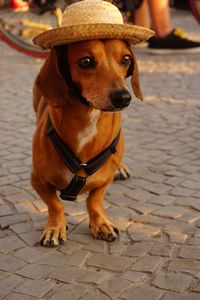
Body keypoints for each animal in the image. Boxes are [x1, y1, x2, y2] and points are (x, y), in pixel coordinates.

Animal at [32, 39, 143, 246]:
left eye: (126, 59)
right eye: (86, 61)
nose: (123, 98)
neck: (88, 123)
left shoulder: (105, 179)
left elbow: (94, 200)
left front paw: (101, 224)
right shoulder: (37, 180)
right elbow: (55, 204)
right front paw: (55, 227)